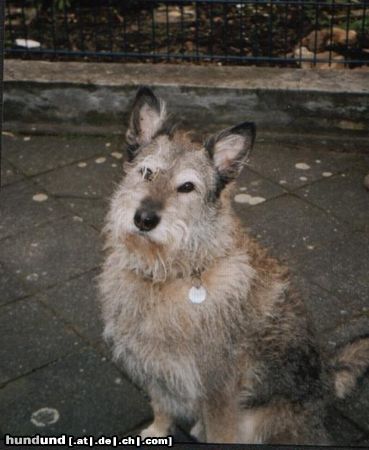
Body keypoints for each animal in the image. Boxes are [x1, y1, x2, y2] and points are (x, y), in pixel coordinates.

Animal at [99, 86, 368, 444]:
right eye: (146, 172)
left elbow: (220, 432)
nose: (144, 219)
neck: (170, 274)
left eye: (187, 187)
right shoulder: (157, 368)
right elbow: (161, 405)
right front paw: (156, 431)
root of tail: (327, 379)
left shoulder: (219, 391)